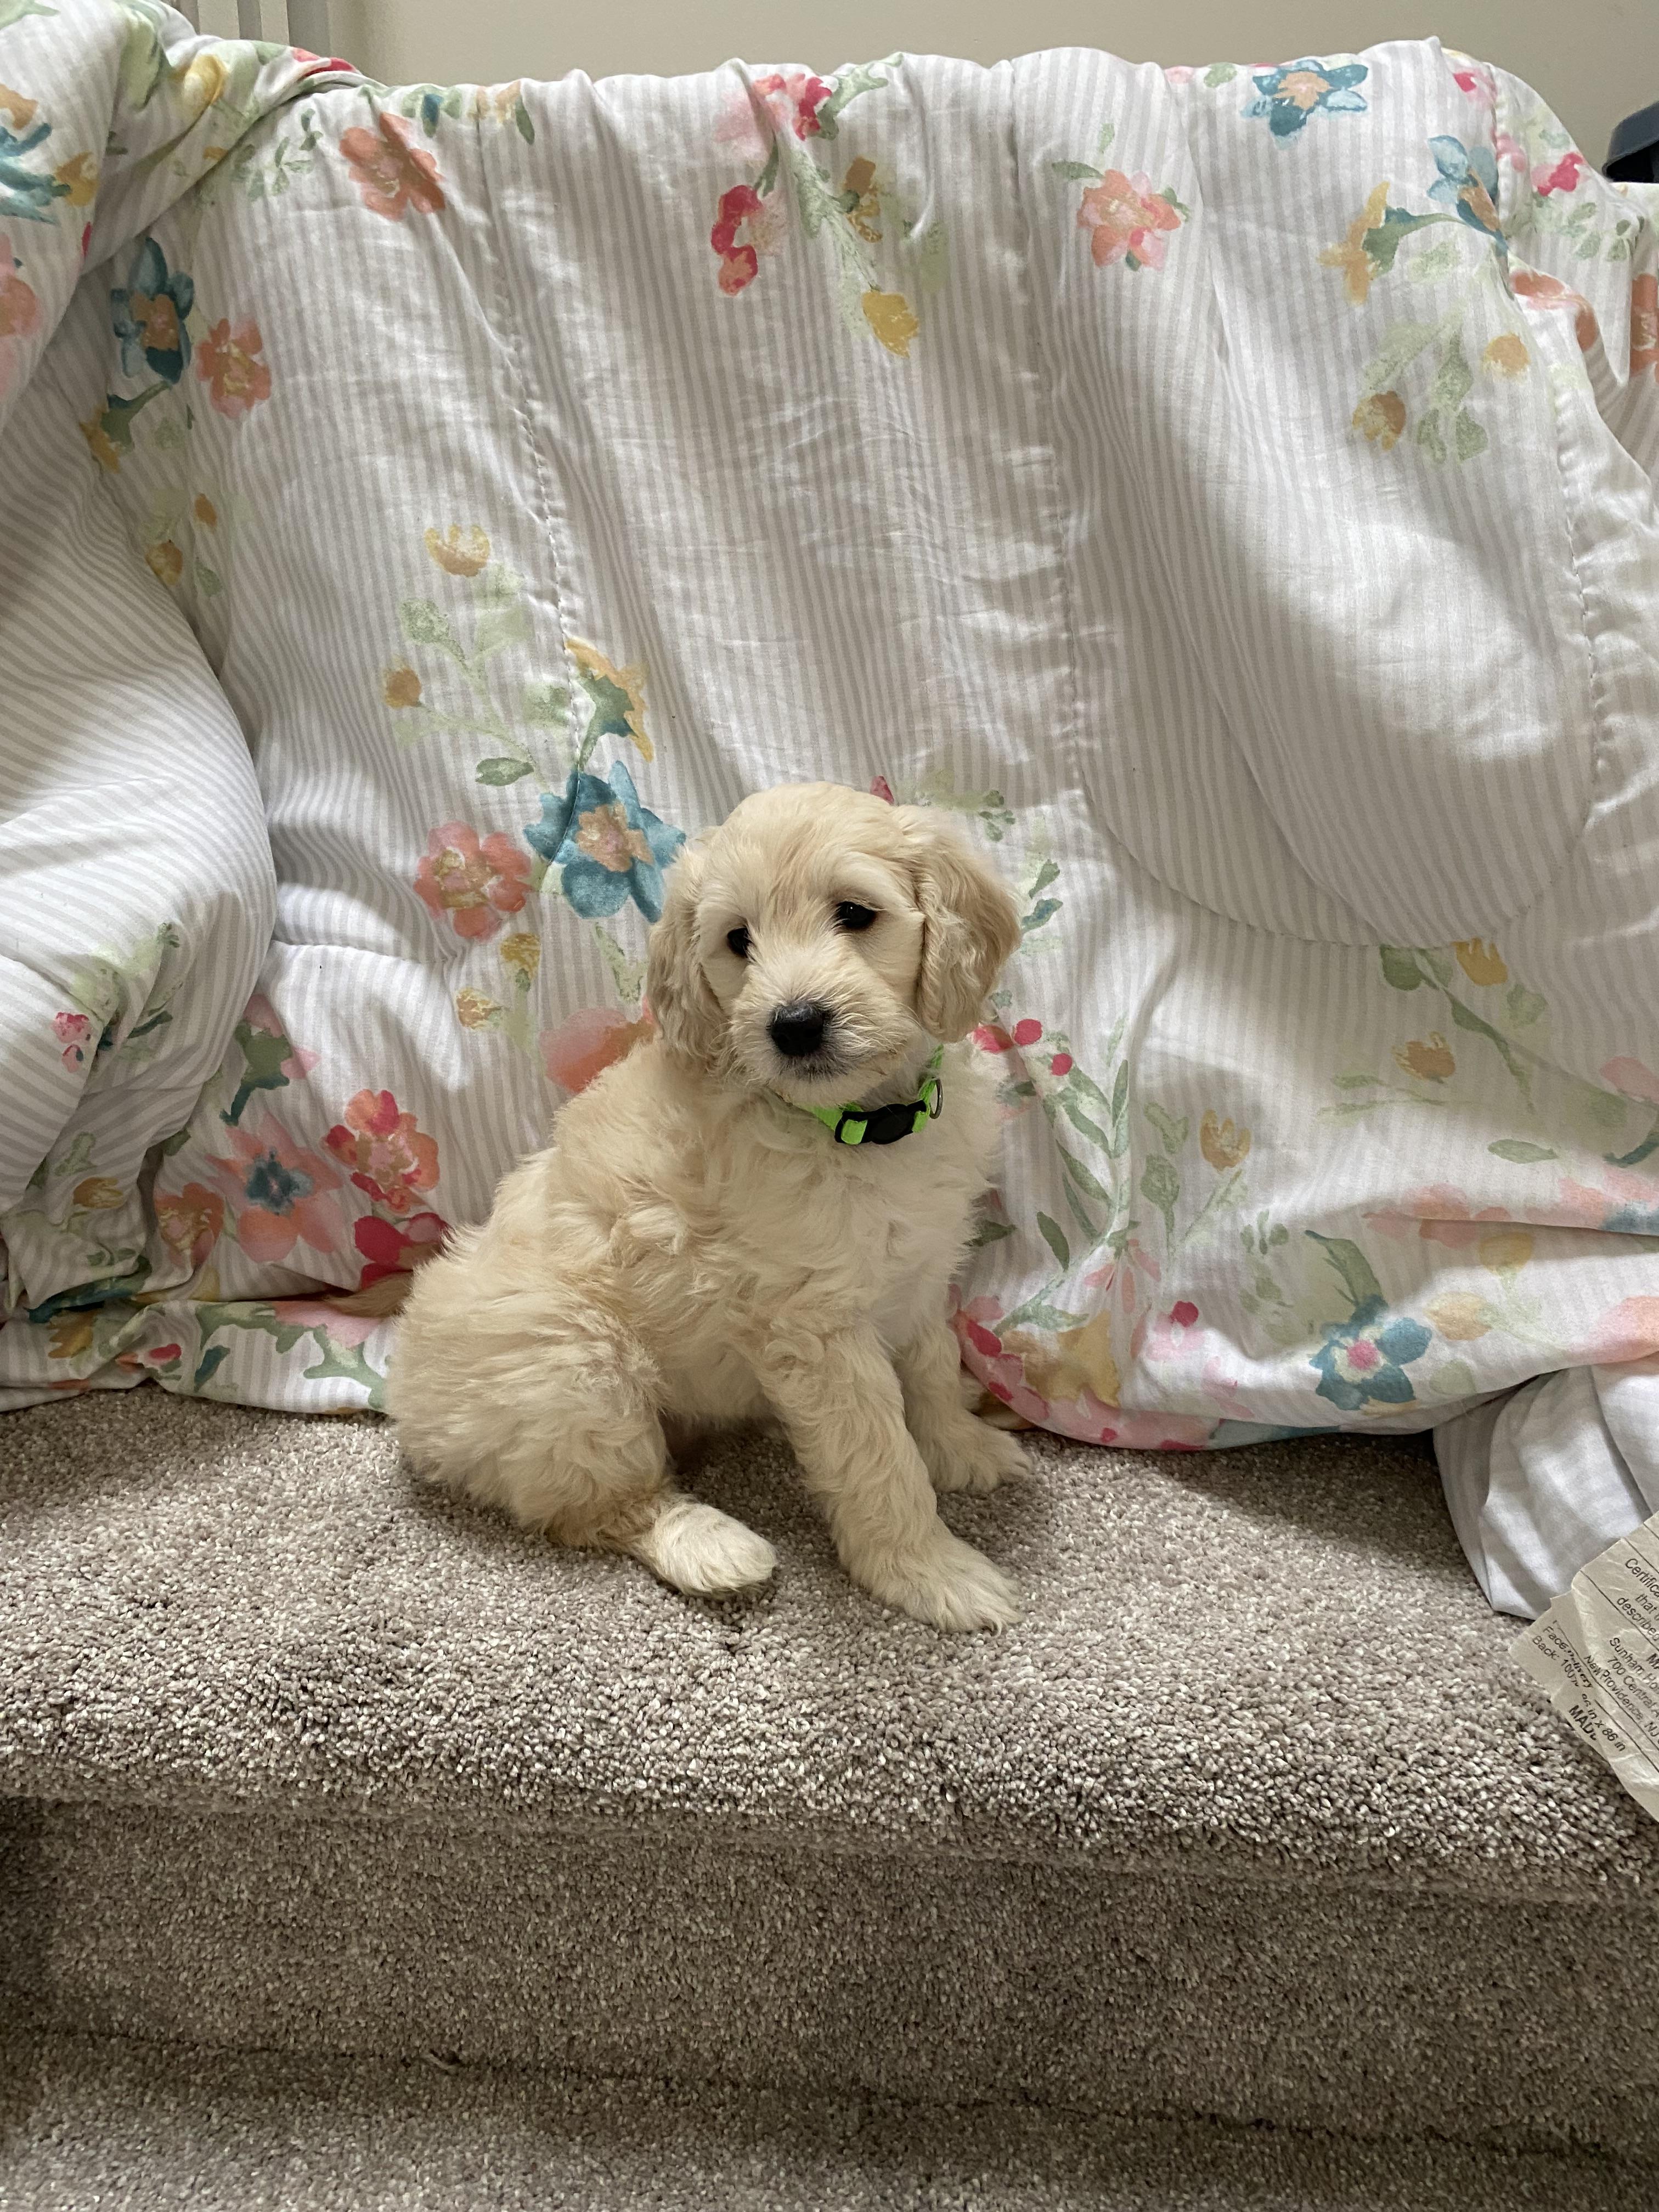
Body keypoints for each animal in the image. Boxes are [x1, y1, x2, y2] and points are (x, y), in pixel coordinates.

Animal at [385, 781, 1030, 1629]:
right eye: (738, 940)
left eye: (855, 914)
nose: (794, 1025)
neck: (858, 1126)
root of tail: (410, 1413)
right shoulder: (813, 1328)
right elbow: (877, 1455)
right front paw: (929, 1572)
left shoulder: (920, 1267)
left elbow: (929, 1367)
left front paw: (962, 1447)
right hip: (575, 1370)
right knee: (607, 1508)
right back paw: (714, 1548)